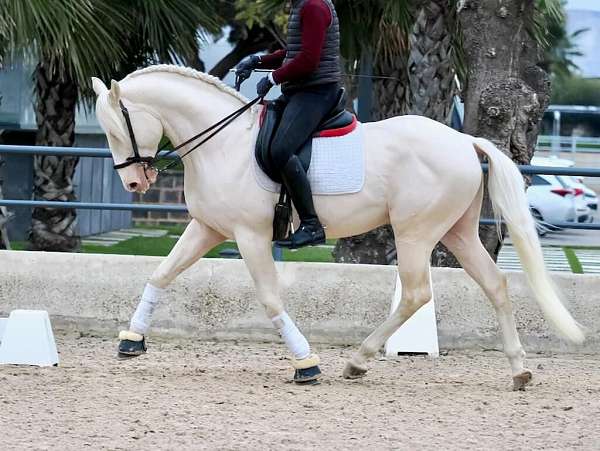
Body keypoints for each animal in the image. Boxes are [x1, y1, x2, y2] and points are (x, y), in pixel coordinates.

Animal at [91, 65, 584, 390]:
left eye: (117, 129)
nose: (135, 183)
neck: (223, 143)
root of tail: (464, 139)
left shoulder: (250, 236)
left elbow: (270, 299)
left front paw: (306, 363)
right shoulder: (208, 228)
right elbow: (161, 274)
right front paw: (131, 340)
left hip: (415, 233)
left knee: (417, 294)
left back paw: (359, 361)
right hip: (457, 232)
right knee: (495, 284)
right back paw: (519, 370)